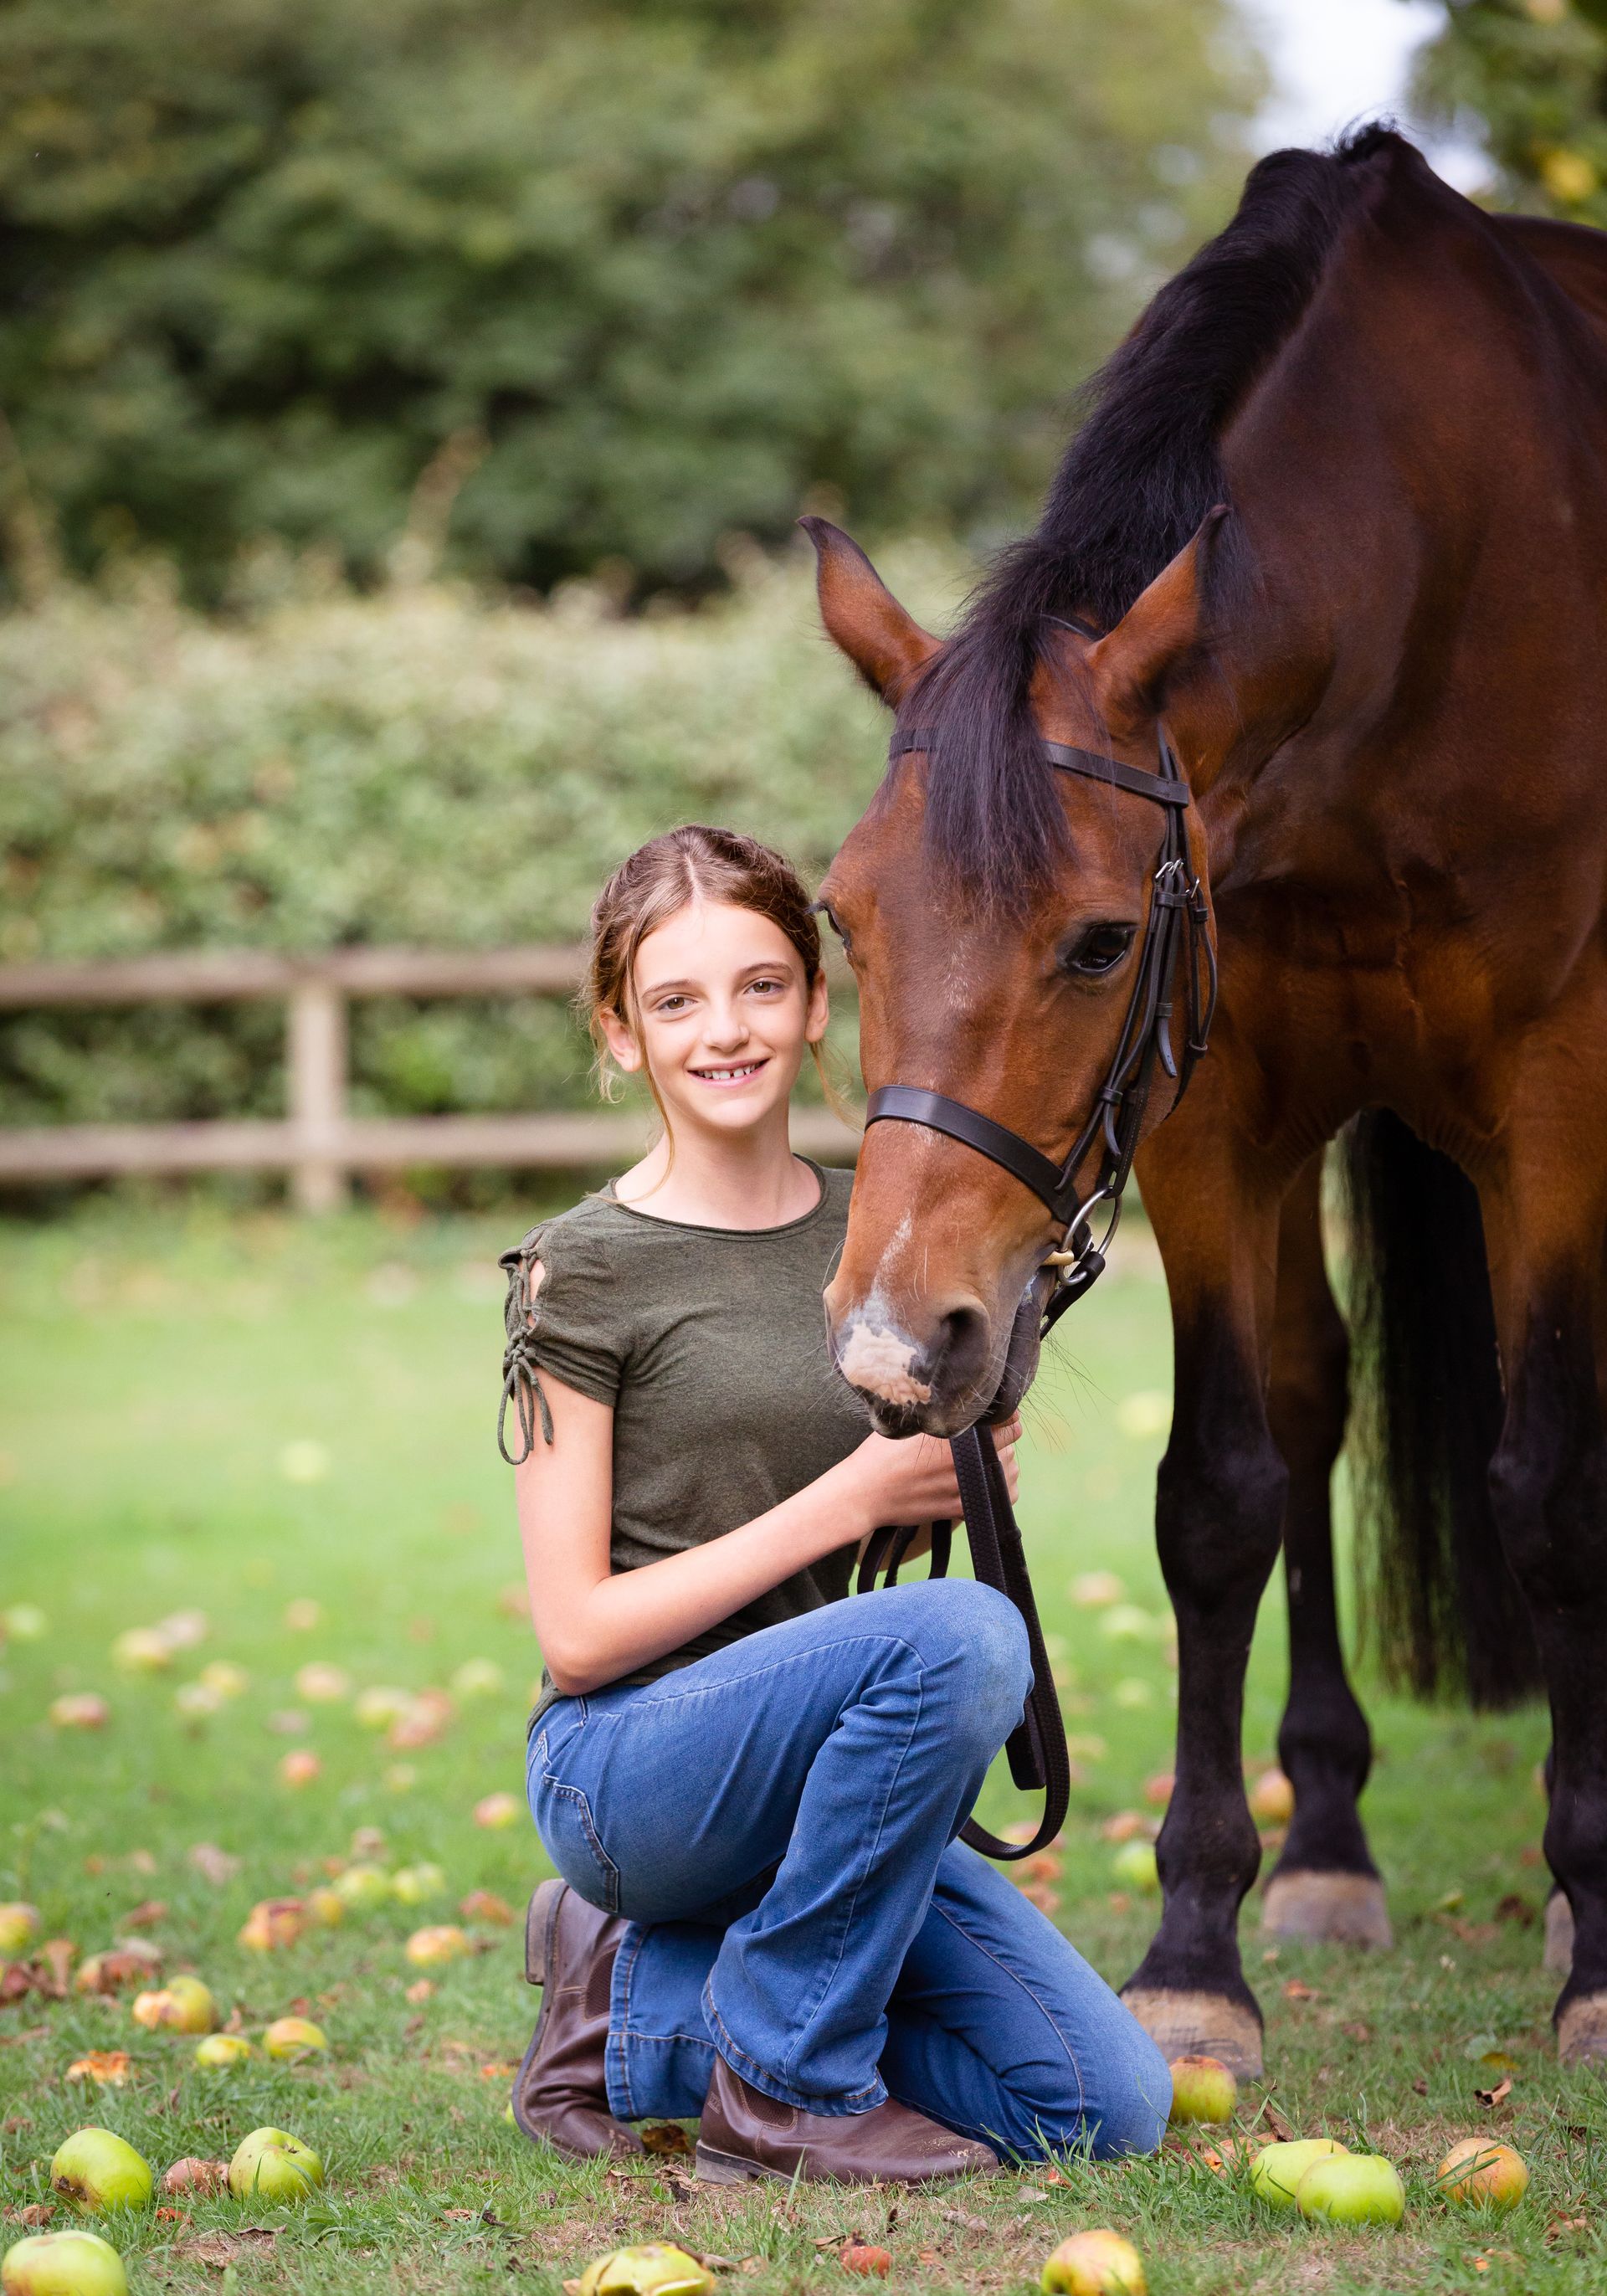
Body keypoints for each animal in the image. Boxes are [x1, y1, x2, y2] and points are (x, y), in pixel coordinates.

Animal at [803, 127, 1607, 2076]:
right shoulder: (1212, 1113)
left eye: (1100, 938)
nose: (899, 1337)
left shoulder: (1561, 1096)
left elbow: (1554, 1483)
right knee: (1316, 1397)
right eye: (847, 916)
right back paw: (1327, 1841)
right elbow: (1224, 1489)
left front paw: (1599, 1934)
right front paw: (1196, 1945)